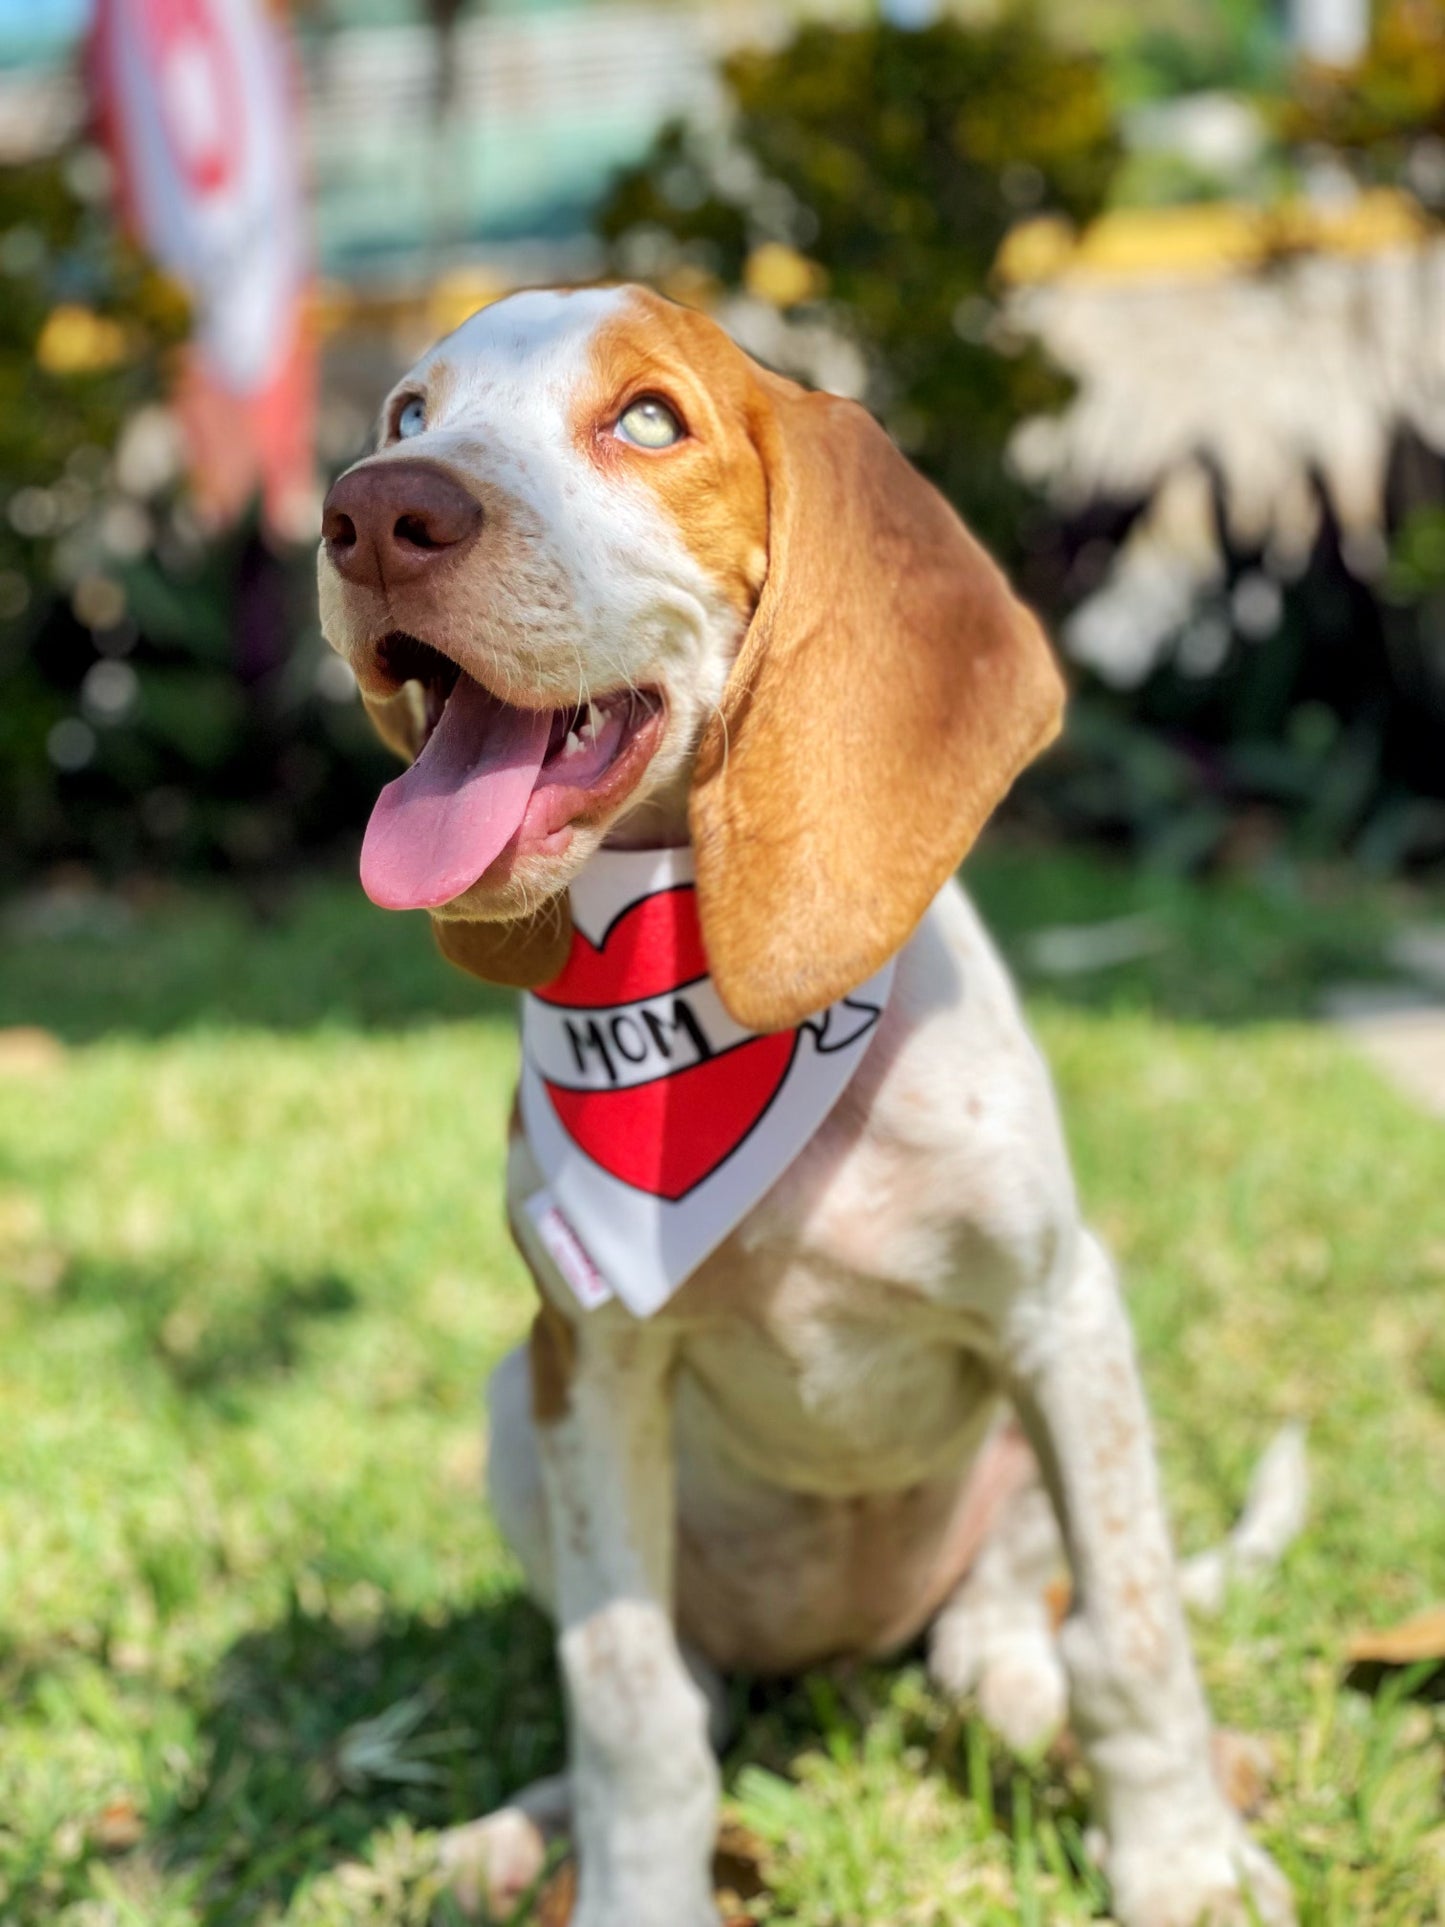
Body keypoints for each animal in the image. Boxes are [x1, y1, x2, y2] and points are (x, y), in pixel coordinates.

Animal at [319, 285, 1302, 1927]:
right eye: (408, 414)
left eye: (650, 419)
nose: (375, 512)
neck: (722, 999)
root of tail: (843, 1657)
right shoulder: (592, 1364)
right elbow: (630, 1705)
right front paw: (632, 1890)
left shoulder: (1061, 1314)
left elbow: (1131, 1635)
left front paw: (1175, 1861)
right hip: (520, 1410)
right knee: (690, 1688)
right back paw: (520, 1829)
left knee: (1006, 1639)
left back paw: (1039, 1714)